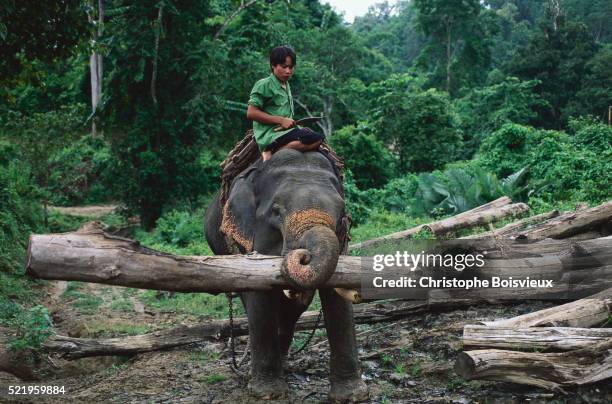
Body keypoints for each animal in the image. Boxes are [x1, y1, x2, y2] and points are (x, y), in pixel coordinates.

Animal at [206, 149, 368, 404]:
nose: (303, 255)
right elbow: (258, 295)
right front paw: (268, 393)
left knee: (291, 310)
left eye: (343, 215)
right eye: (276, 211)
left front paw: (351, 395)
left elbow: (336, 295)